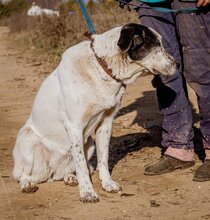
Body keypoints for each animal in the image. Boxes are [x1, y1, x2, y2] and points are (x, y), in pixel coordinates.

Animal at [12, 23, 177, 202]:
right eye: (155, 44)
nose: (177, 64)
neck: (103, 68)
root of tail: (51, 172)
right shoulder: (74, 126)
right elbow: (82, 166)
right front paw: (87, 192)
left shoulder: (105, 124)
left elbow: (103, 160)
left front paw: (107, 184)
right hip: (27, 139)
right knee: (23, 175)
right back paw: (28, 184)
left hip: (89, 144)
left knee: (63, 172)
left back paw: (70, 177)